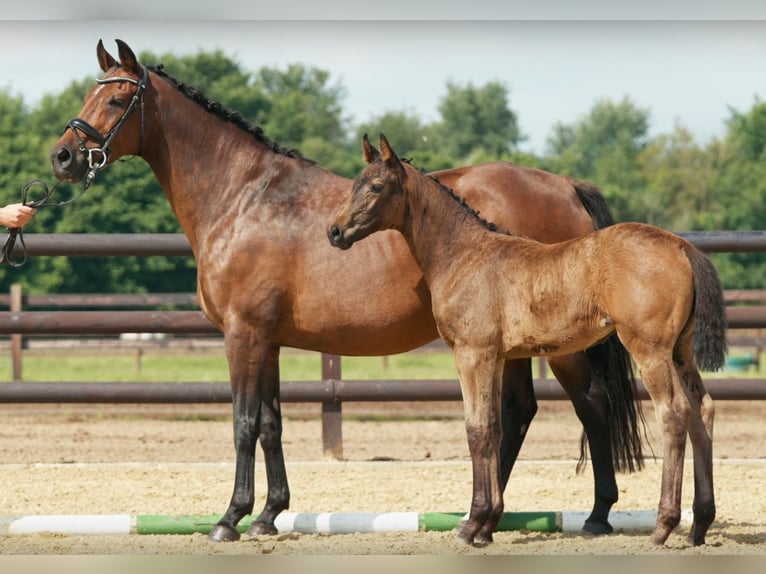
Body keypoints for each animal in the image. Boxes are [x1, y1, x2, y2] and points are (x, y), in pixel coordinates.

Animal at [49, 39, 648, 544]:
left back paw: (595, 516)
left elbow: (243, 423)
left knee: (591, 404)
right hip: (514, 345)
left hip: (560, 346)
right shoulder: (268, 339)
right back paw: (484, 516)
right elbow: (271, 423)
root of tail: (565, 186)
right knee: (520, 412)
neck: (245, 198)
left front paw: (230, 518)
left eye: (118, 96)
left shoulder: (243, 334)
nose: (63, 157)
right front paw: (269, 515)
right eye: (89, 93)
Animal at [328, 135, 728, 548]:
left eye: (376, 187)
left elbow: (476, 429)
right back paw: (699, 525)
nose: (335, 232)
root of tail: (682, 247)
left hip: (649, 350)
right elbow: (493, 427)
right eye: (356, 183)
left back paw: (663, 525)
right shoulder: (496, 357)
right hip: (681, 351)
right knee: (703, 410)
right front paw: (486, 525)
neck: (465, 255)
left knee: (674, 413)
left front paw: (471, 525)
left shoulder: (472, 353)